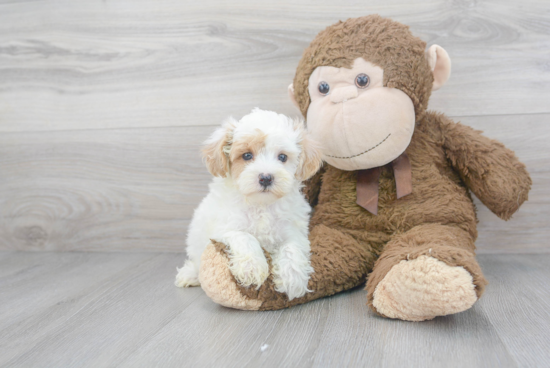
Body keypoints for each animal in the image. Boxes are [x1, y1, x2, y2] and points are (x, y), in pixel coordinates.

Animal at [176, 108, 324, 300]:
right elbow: (245, 237)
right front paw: (252, 268)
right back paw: (190, 275)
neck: (261, 204)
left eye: (282, 157)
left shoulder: (292, 229)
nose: (266, 177)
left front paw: (292, 278)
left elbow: (291, 247)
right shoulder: (225, 227)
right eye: (247, 155)